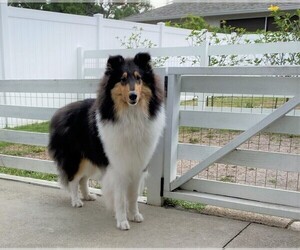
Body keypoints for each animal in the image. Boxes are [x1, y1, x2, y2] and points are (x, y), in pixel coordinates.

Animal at [49, 53, 166, 230]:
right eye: (122, 79)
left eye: (138, 78)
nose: (133, 96)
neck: (130, 116)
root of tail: (61, 112)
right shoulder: (118, 167)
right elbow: (120, 198)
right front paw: (122, 221)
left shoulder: (137, 166)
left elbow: (133, 196)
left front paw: (135, 215)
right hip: (76, 158)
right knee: (73, 180)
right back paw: (76, 201)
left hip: (91, 158)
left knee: (83, 179)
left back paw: (88, 196)